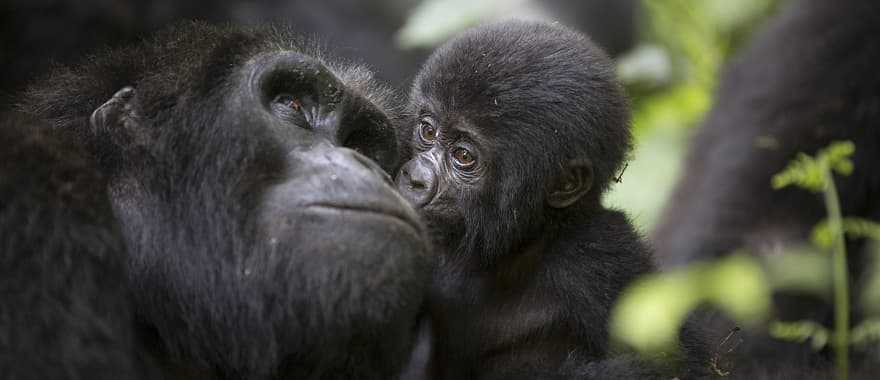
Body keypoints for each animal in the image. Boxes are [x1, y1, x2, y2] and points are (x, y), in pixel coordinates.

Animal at [398, 21, 708, 380]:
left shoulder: (599, 251)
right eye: (428, 131)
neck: (520, 246)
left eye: (463, 156)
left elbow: (675, 364)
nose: (414, 179)